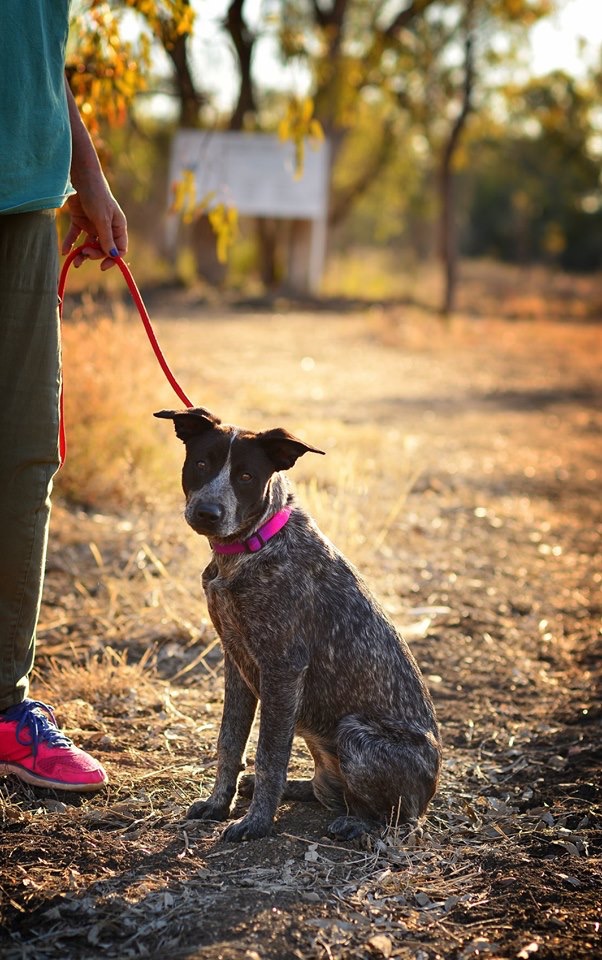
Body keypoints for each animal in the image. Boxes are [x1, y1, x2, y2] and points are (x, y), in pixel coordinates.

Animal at [155, 407, 442, 842]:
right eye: (202, 464)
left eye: (246, 476)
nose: (207, 513)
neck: (251, 547)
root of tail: (431, 790)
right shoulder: (236, 662)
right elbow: (229, 743)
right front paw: (219, 804)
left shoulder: (283, 667)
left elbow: (270, 755)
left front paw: (256, 823)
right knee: (327, 790)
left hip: (356, 736)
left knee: (401, 819)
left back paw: (358, 824)